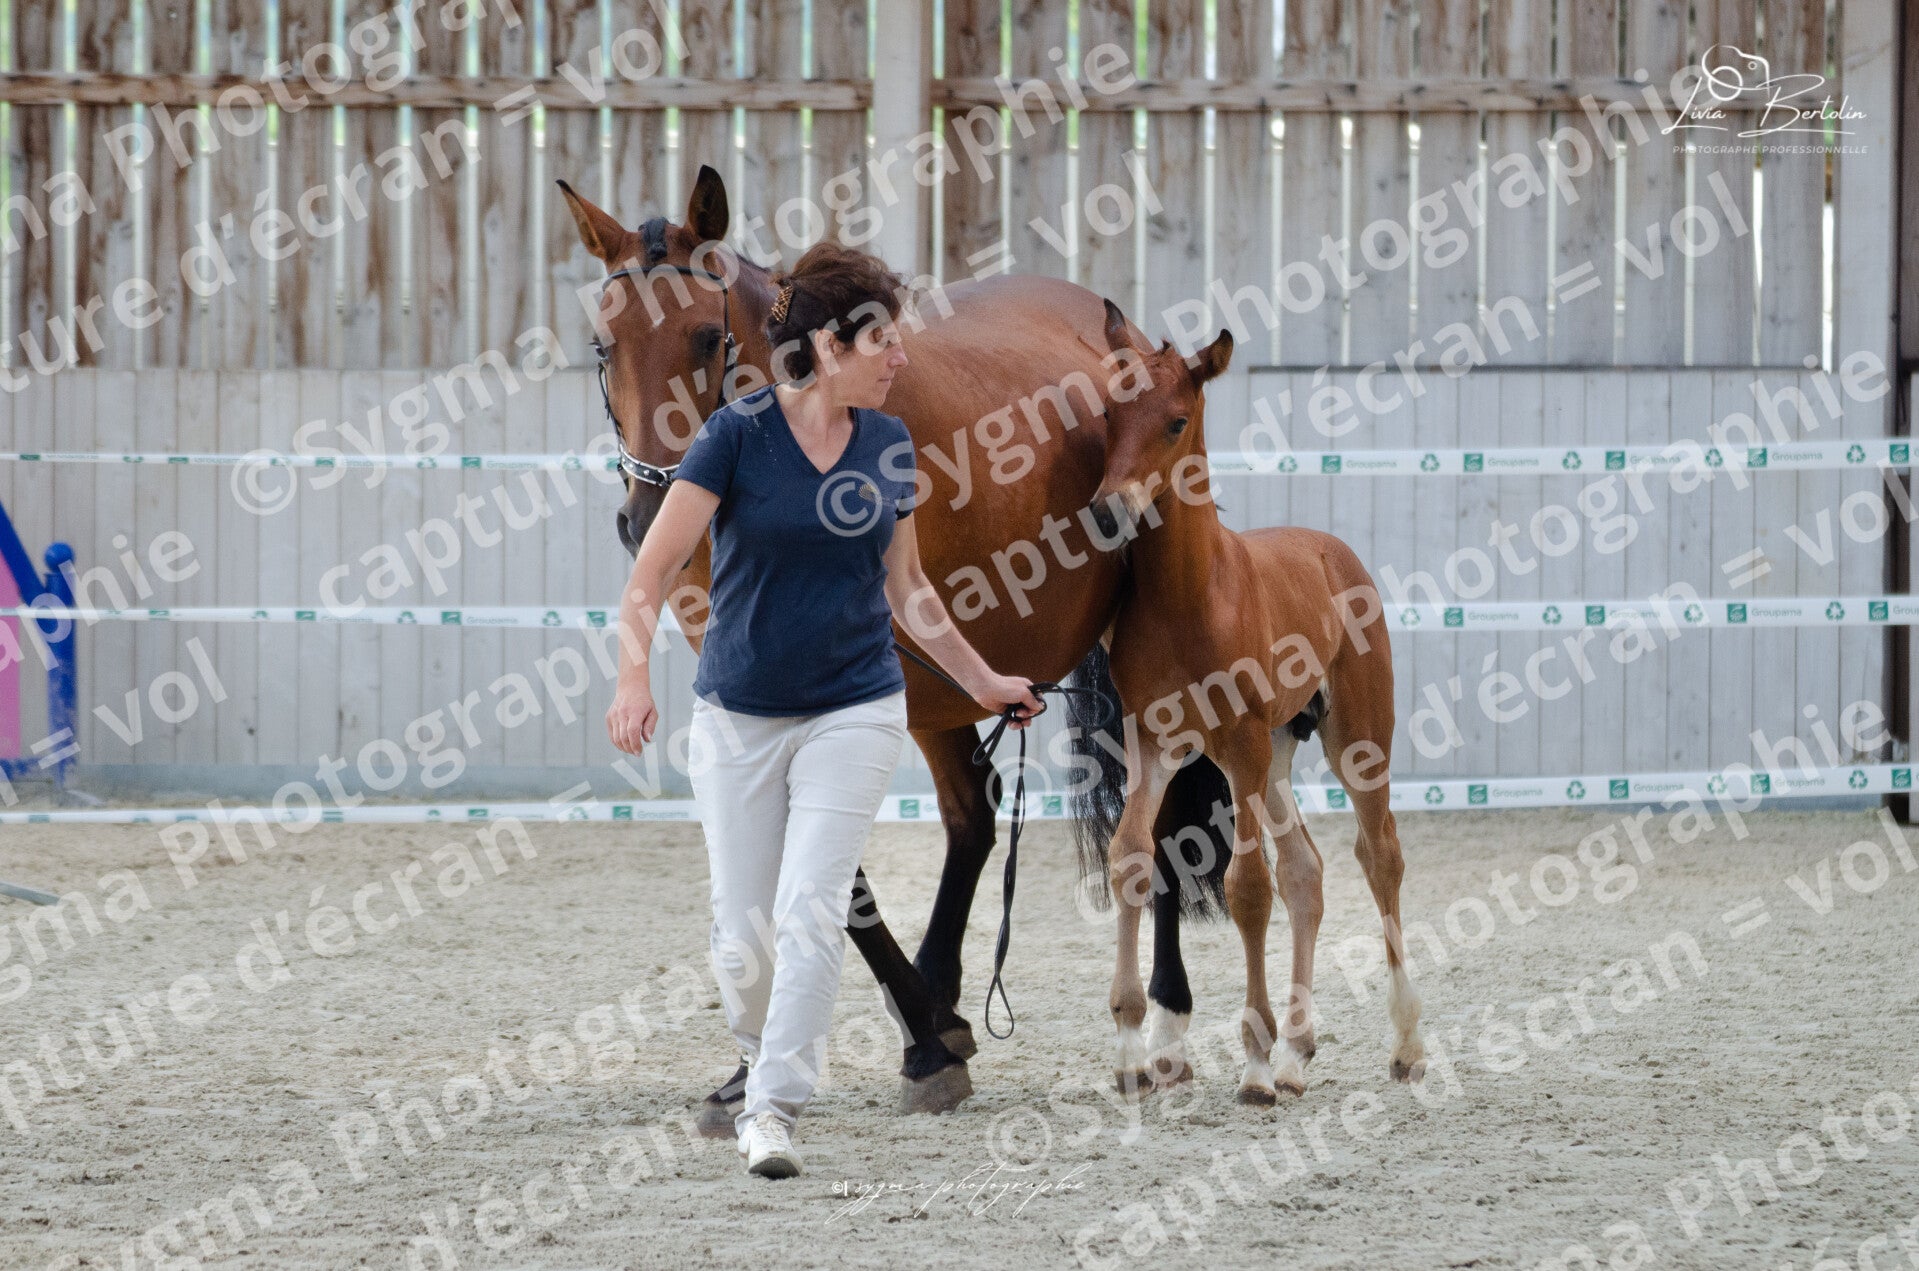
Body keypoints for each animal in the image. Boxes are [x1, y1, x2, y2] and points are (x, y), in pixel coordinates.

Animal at [1085, 300, 1427, 1104]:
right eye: (1109, 413)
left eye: (1176, 420)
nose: (1109, 513)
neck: (1191, 594)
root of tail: (1334, 551)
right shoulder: (1153, 740)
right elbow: (1131, 857)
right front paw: (1131, 1049)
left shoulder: (1235, 741)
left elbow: (1246, 888)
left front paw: (1253, 1062)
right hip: (1275, 749)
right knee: (1307, 870)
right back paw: (1300, 1052)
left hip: (1351, 738)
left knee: (1379, 854)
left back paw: (1403, 1043)